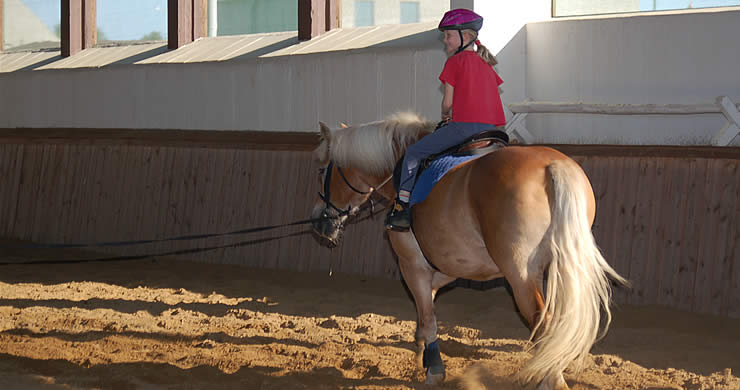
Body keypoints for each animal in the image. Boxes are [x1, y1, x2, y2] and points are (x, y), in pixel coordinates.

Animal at [310, 111, 628, 388]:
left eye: (323, 170)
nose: (318, 222)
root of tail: (551, 165)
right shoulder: (458, 263)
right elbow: (429, 304)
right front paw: (421, 348)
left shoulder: (411, 263)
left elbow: (428, 313)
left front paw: (433, 367)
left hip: (521, 276)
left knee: (543, 322)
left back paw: (551, 378)